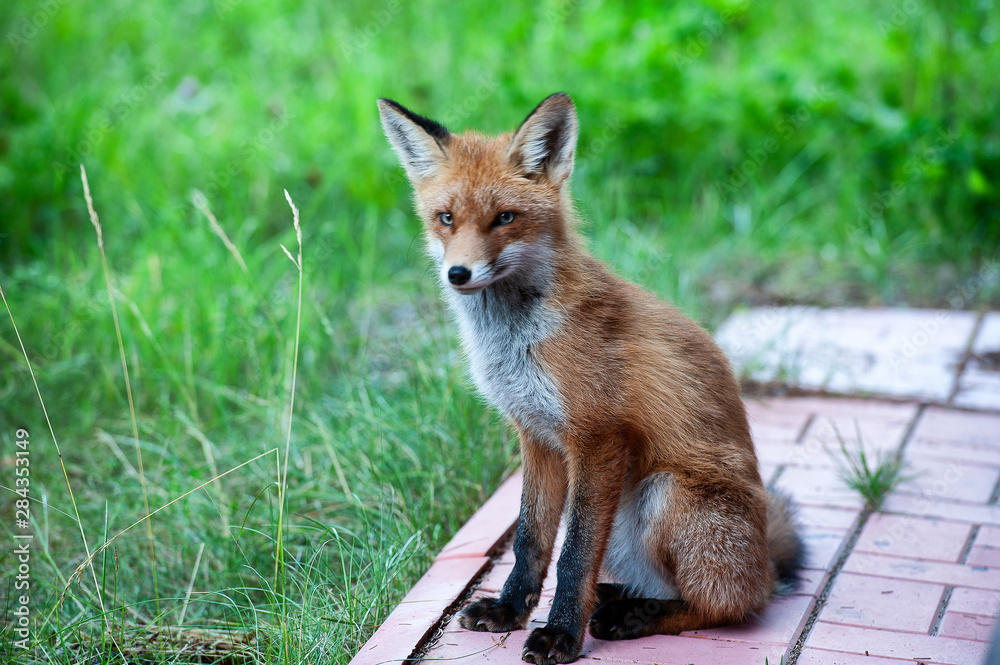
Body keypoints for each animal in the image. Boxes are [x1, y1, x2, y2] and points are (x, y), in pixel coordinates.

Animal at [377, 93, 805, 665]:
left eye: (504, 218)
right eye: (446, 218)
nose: (458, 274)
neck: (516, 343)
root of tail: (765, 562)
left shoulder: (597, 437)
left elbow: (574, 555)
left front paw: (559, 634)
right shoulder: (535, 435)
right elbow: (531, 540)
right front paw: (510, 610)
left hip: (665, 494)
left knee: (727, 605)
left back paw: (633, 615)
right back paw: (617, 596)